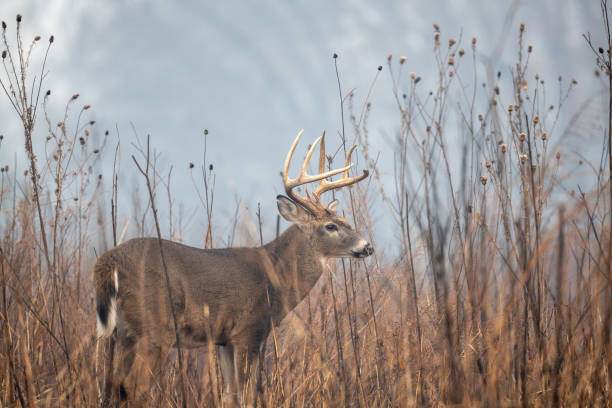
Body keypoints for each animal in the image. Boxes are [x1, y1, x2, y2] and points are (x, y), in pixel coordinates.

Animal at [93, 130, 370, 404]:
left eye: (346, 221)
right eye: (331, 226)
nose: (367, 246)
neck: (276, 276)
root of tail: (109, 261)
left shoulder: (223, 340)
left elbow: (229, 395)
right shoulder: (250, 330)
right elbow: (246, 394)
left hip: (123, 333)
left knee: (113, 386)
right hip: (156, 327)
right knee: (133, 385)